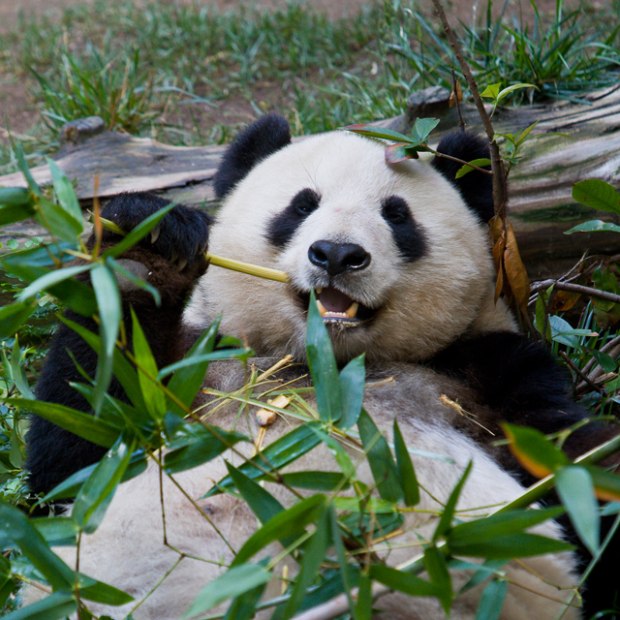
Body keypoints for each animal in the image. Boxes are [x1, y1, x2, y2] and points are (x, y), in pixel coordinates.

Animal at [23, 115, 616, 616]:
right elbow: (76, 455)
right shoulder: (202, 365)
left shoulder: (488, 371)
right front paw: (143, 248)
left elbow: (574, 467)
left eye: (397, 215)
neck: (328, 368)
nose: (336, 254)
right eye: (301, 206)